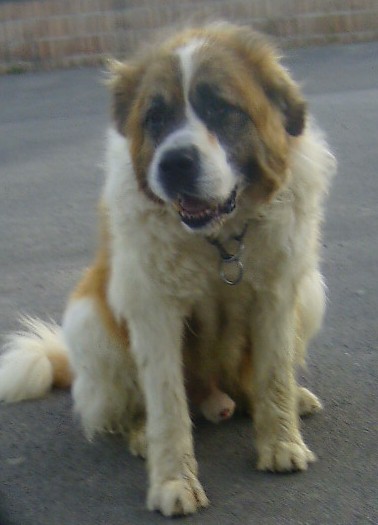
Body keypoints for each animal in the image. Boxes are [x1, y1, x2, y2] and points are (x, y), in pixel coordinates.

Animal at [0, 23, 336, 516]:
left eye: (220, 109)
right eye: (155, 118)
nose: (175, 162)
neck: (220, 241)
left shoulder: (276, 293)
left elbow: (273, 373)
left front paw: (280, 442)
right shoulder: (154, 313)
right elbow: (167, 406)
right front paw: (173, 481)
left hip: (309, 290)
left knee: (253, 379)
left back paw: (289, 399)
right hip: (88, 319)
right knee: (134, 404)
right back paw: (141, 433)